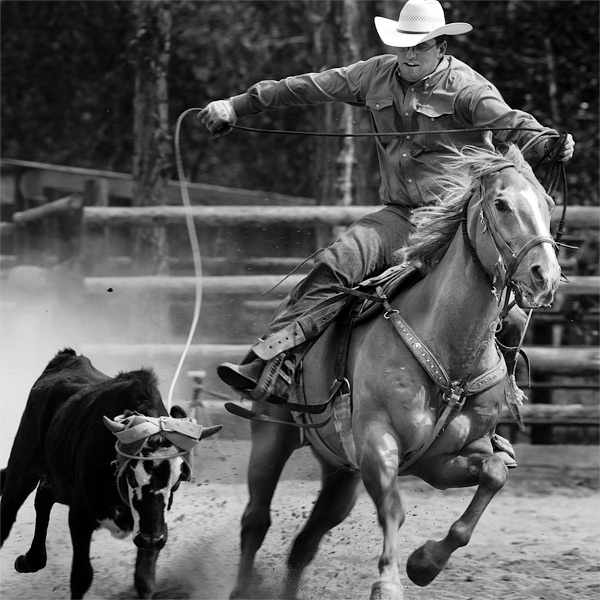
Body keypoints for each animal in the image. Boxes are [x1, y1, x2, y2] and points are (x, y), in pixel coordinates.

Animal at [0, 348, 221, 599]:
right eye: (132, 476)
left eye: (176, 482)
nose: (151, 539)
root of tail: (67, 357)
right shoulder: (80, 514)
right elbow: (81, 576)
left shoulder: (154, 526)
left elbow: (144, 579)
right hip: (22, 467)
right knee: (9, 510)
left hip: (57, 479)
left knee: (44, 498)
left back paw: (31, 559)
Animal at [227, 145, 561, 600]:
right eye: (501, 204)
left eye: (548, 204)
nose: (545, 276)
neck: (450, 349)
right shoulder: (378, 442)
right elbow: (393, 509)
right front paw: (387, 581)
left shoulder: (442, 460)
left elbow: (493, 475)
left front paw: (425, 564)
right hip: (272, 436)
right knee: (256, 519)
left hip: (341, 474)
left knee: (303, 544)